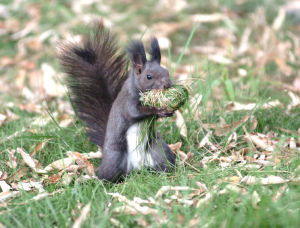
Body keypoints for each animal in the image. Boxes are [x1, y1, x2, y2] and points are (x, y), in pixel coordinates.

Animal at [58, 21, 176, 182]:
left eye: (166, 71)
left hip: (159, 151)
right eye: (149, 76)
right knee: (106, 174)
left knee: (164, 162)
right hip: (115, 158)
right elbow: (134, 112)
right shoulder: (127, 102)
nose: (167, 84)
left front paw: (168, 111)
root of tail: (137, 168)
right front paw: (157, 109)